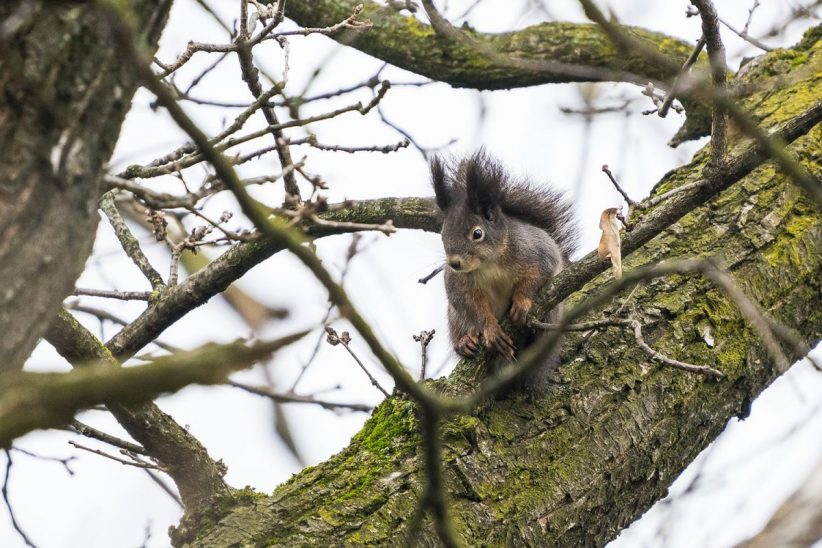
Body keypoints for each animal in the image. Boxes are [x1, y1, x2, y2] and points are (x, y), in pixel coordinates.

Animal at [432, 151, 580, 386]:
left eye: (477, 234)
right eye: (443, 235)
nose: (454, 263)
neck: (489, 263)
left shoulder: (536, 251)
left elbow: (538, 274)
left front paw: (521, 302)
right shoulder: (458, 282)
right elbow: (469, 303)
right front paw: (490, 330)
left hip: (552, 313)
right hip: (454, 317)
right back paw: (465, 342)